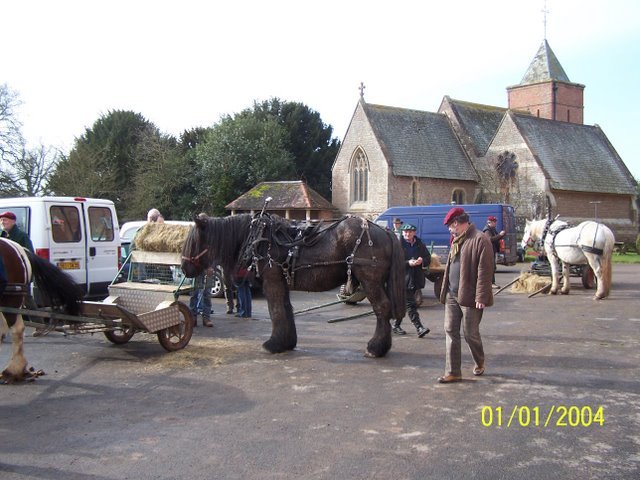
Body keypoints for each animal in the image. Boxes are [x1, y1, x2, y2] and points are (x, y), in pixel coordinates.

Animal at [180, 214, 408, 356]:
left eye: (194, 242)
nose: (183, 268)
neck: (258, 238)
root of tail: (385, 231)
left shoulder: (272, 280)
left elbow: (276, 311)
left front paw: (273, 344)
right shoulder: (282, 281)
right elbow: (286, 309)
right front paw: (287, 342)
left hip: (370, 280)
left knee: (382, 309)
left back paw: (376, 348)